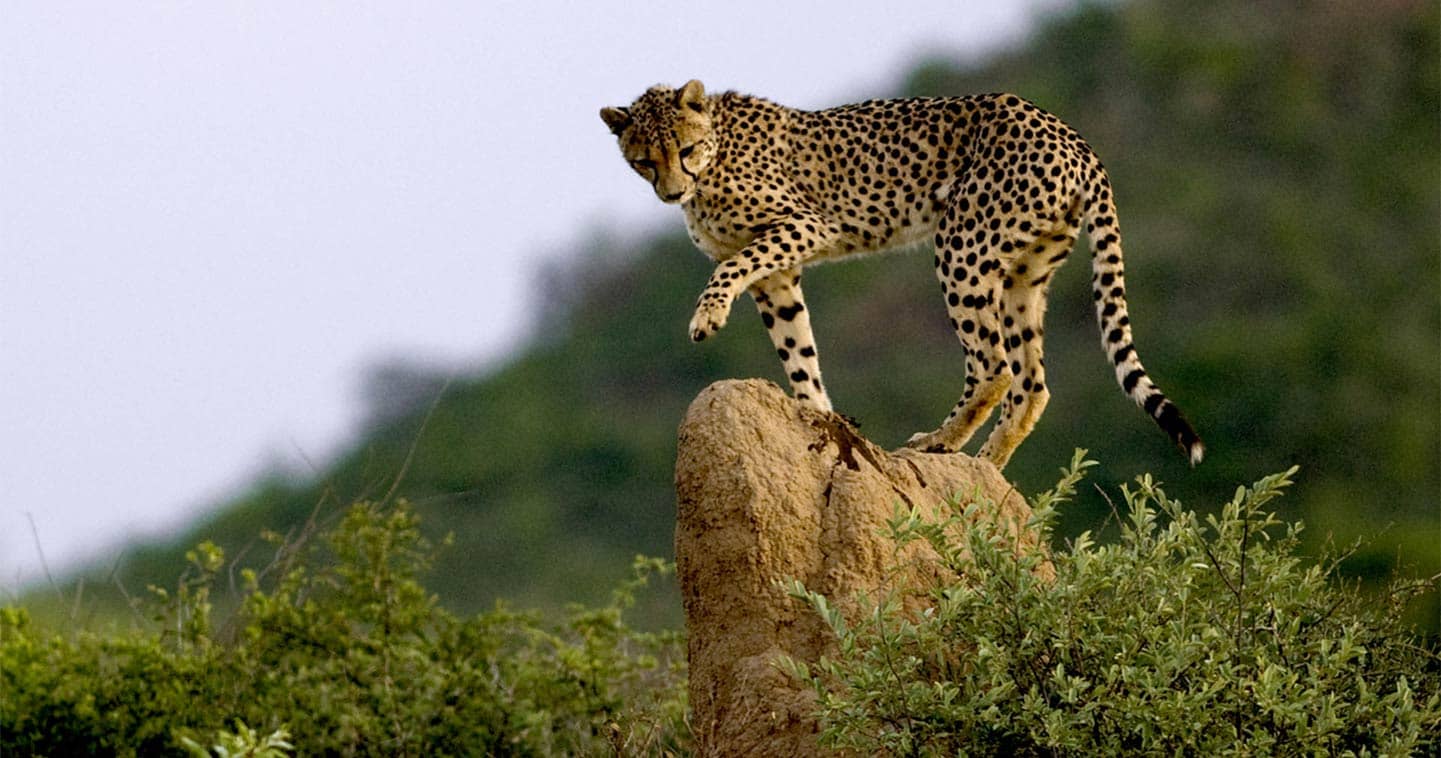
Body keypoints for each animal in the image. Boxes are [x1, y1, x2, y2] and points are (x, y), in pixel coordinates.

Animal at [599, 78, 1204, 469]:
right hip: (1023, 273)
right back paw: (987, 467)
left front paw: (707, 317)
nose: (671, 191)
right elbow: (798, 349)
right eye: (645, 161)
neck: (715, 153)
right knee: (1031, 383)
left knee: (994, 367)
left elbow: (731, 267)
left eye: (686, 149)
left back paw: (937, 443)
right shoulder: (779, 275)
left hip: (962, 246)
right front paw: (819, 417)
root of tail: (1071, 136)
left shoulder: (806, 225)